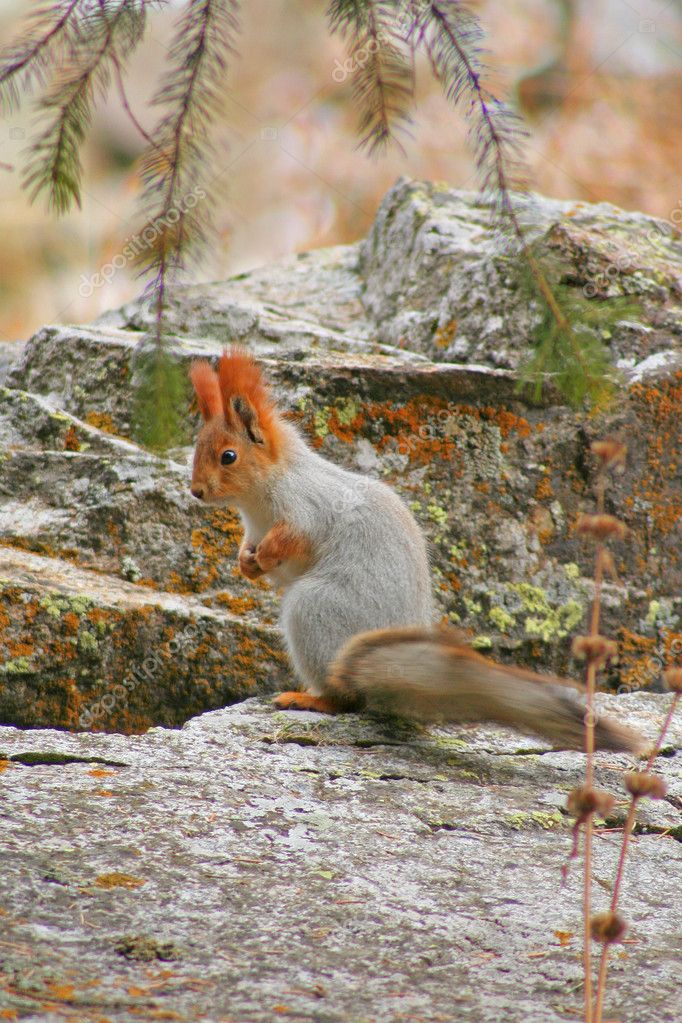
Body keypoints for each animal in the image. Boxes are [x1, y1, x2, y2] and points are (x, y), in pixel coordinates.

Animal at [189, 349, 642, 754]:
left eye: (228, 456)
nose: (195, 492)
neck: (258, 502)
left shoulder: (310, 509)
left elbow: (294, 540)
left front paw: (266, 554)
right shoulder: (255, 529)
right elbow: (256, 555)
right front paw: (246, 563)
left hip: (316, 610)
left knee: (345, 700)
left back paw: (310, 698)